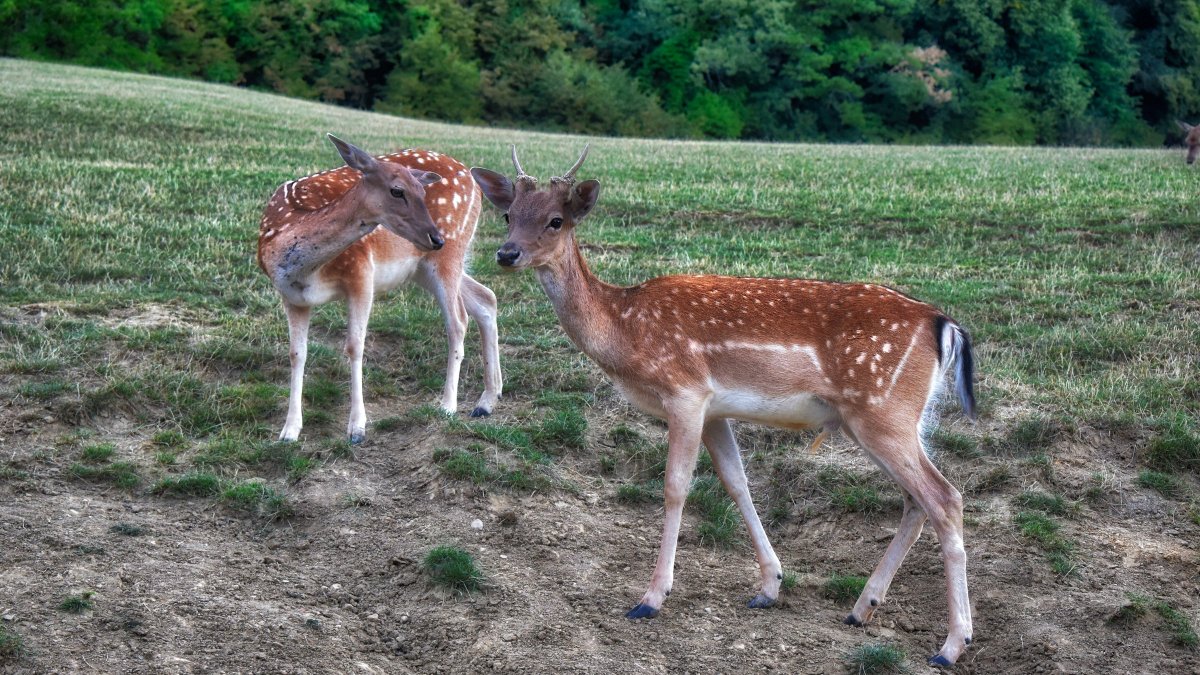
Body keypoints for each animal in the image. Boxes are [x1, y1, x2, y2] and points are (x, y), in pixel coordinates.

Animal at [257, 134, 502, 444]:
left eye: (422, 191)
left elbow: (355, 347)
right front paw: (289, 430)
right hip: (423, 267)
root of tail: (473, 181)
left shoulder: (361, 273)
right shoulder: (292, 296)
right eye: (397, 191)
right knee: (486, 298)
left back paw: (447, 406)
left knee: (458, 321)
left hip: (449, 253)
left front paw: (357, 428)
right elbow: (296, 353)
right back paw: (488, 400)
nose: (435, 237)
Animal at [470, 146, 978, 666]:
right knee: (916, 500)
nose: (506, 253)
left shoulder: (685, 393)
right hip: (885, 418)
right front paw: (769, 586)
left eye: (556, 220)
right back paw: (862, 608)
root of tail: (946, 325)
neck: (625, 330)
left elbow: (676, 487)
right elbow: (737, 483)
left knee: (945, 498)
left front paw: (652, 597)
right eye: (508, 214)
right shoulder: (715, 410)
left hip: (884, 410)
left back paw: (951, 644)